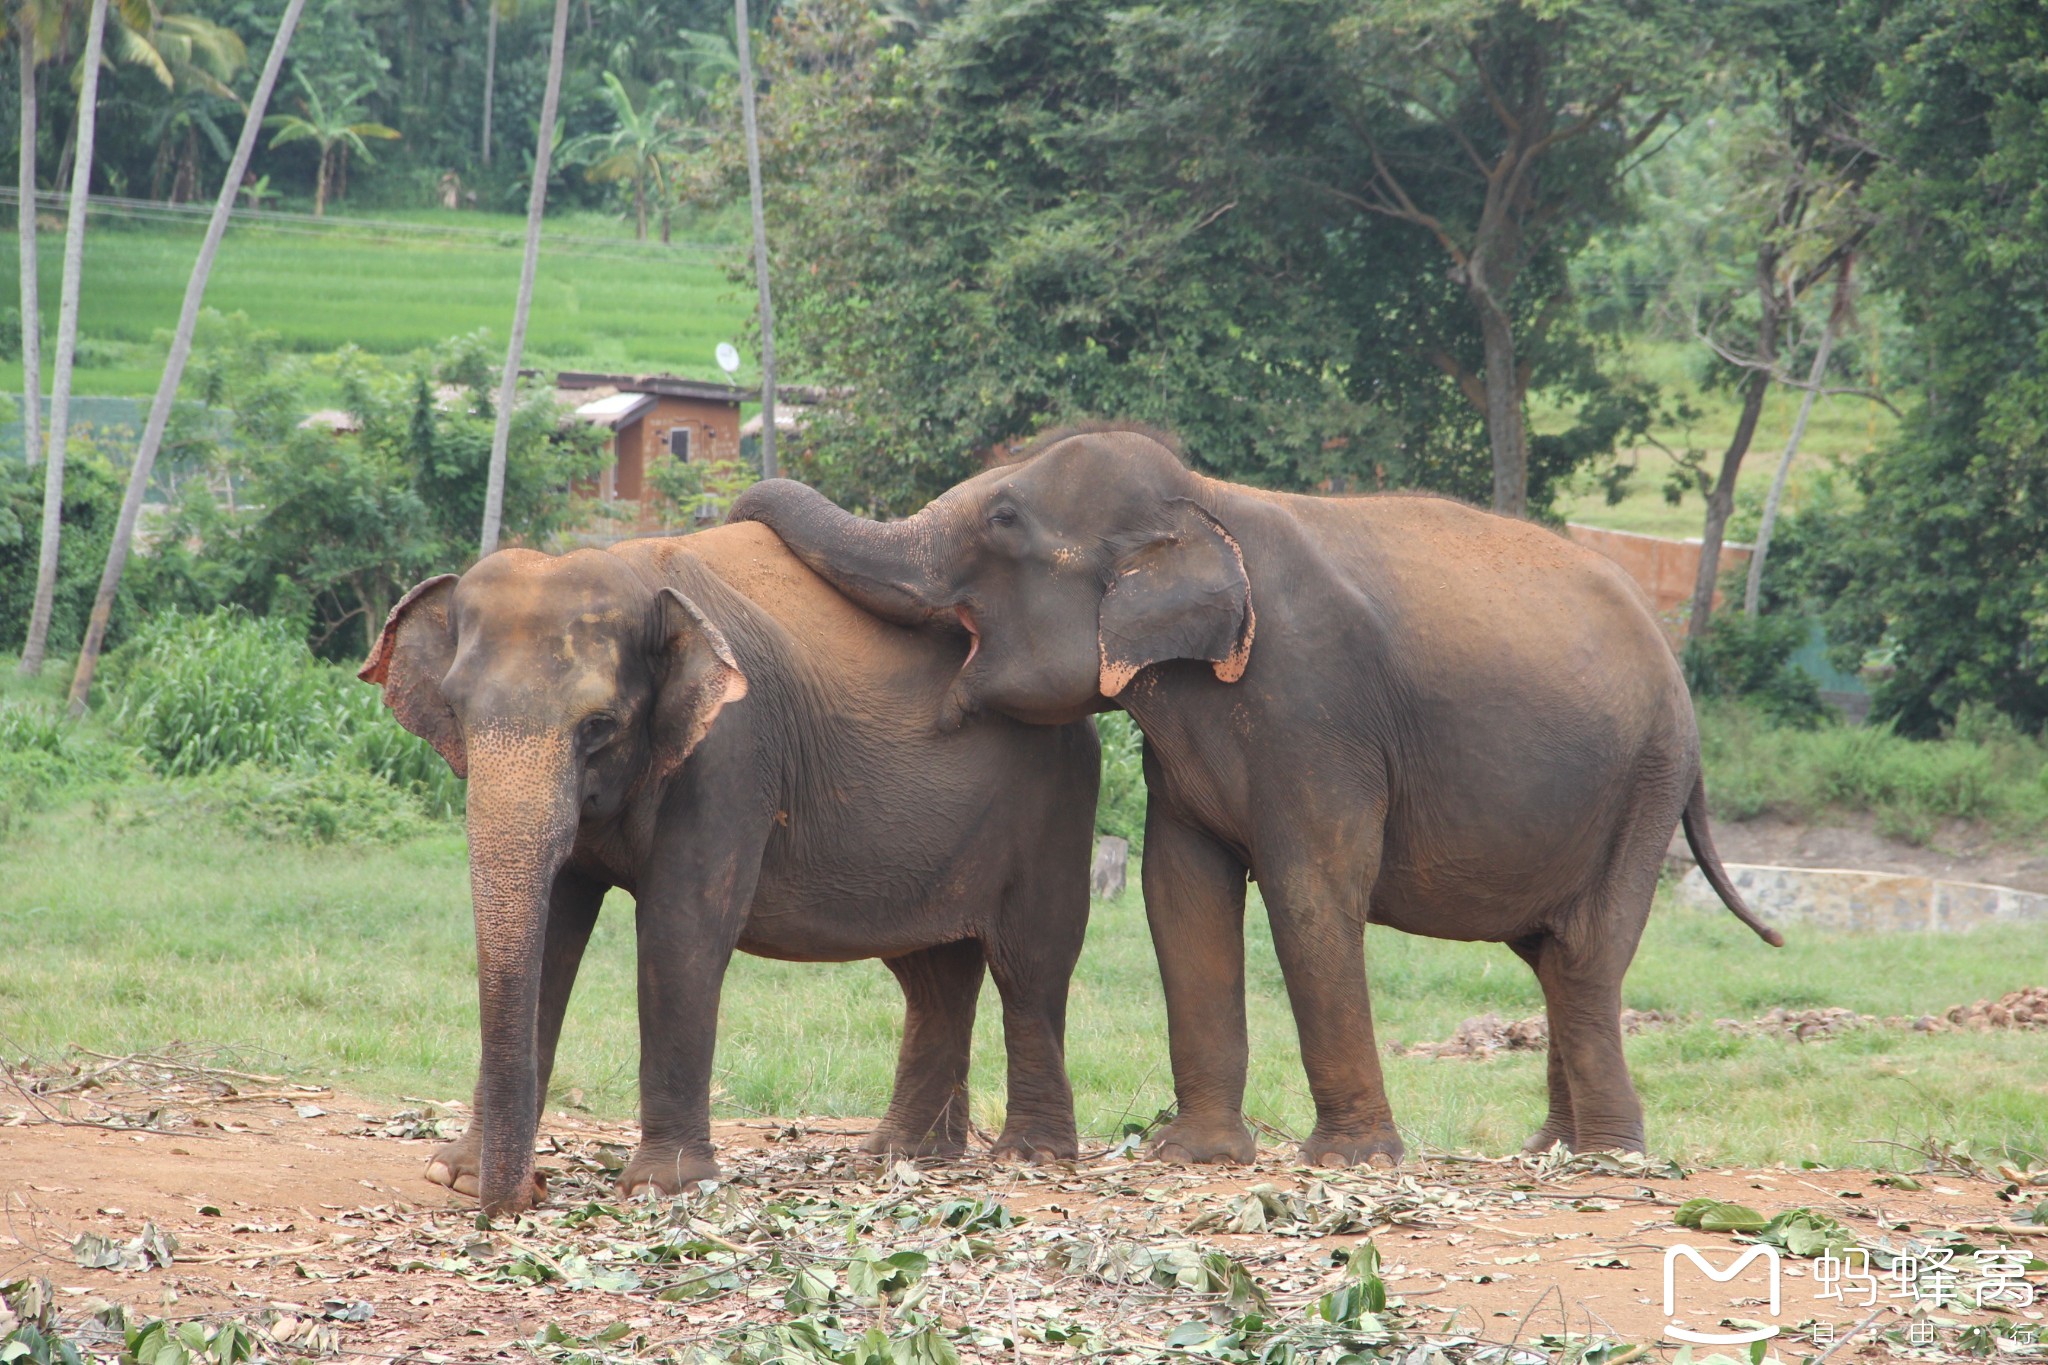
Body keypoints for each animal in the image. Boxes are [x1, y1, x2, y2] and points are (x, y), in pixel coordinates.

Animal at [358, 527, 1097, 1219]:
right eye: (455, 711)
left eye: (599, 725)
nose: (526, 1193)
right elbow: (556, 937)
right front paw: (457, 1175)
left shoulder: (731, 752)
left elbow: (681, 933)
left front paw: (663, 1188)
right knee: (933, 975)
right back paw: (902, 1155)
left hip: (1055, 805)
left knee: (1029, 967)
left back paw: (1029, 1155)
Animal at [733, 423, 1777, 1162]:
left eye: (1003, 522)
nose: (741, 505)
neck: (1206, 502)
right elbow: (1179, 891)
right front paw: (1194, 1155)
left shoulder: (1316, 708)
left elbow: (1312, 891)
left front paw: (1351, 1160)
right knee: (1553, 955)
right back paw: (1549, 1149)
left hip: (1646, 780)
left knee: (1590, 952)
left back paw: (1608, 1160)